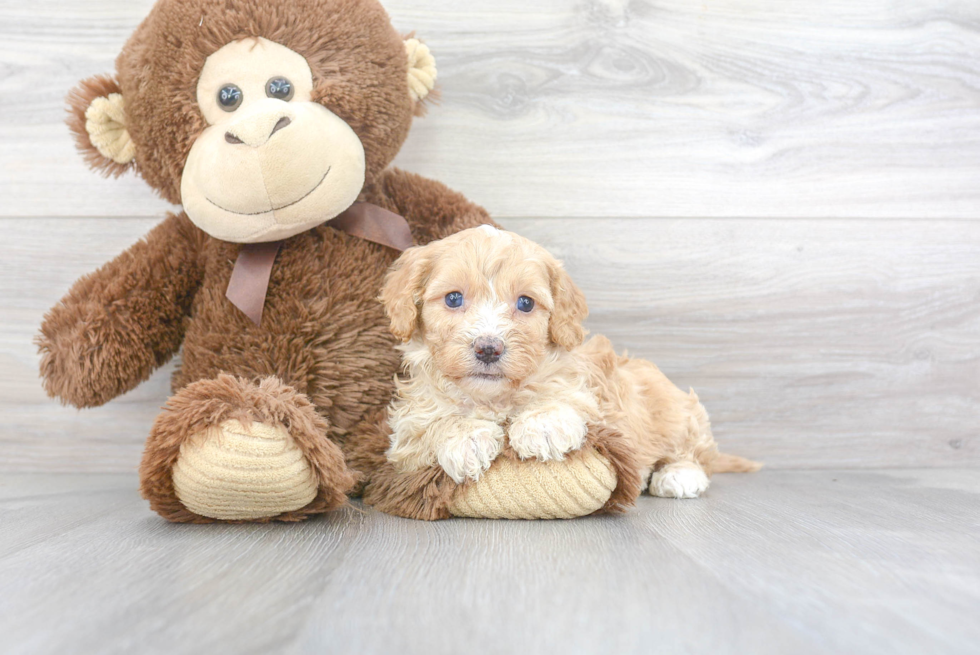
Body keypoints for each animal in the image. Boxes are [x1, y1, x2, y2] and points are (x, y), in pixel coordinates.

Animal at [378, 228, 756, 500]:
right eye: (454, 298)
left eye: (526, 303)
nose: (488, 348)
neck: (493, 398)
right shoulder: (407, 437)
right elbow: (431, 426)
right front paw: (466, 437)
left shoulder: (591, 396)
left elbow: (563, 398)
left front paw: (542, 425)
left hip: (675, 410)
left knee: (695, 451)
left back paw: (679, 475)